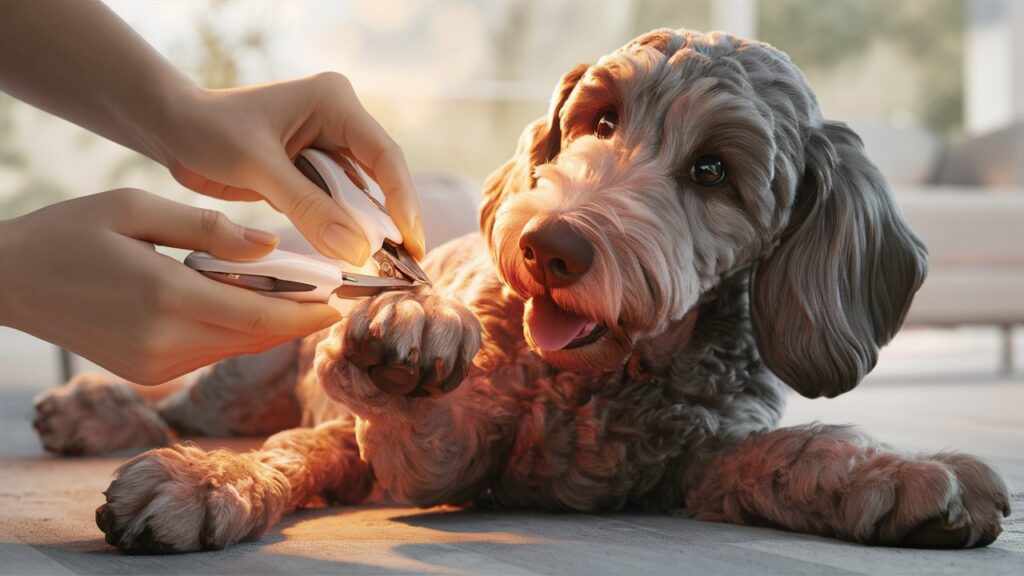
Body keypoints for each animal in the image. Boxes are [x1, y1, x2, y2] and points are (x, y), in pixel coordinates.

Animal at [32, 28, 1007, 553]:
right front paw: (211, 476)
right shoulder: (426, 461)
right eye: (600, 119)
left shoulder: (694, 460)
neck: (593, 384)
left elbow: (796, 451)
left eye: (713, 171)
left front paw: (903, 475)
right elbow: (312, 445)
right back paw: (90, 409)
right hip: (250, 365)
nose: (549, 245)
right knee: (186, 408)